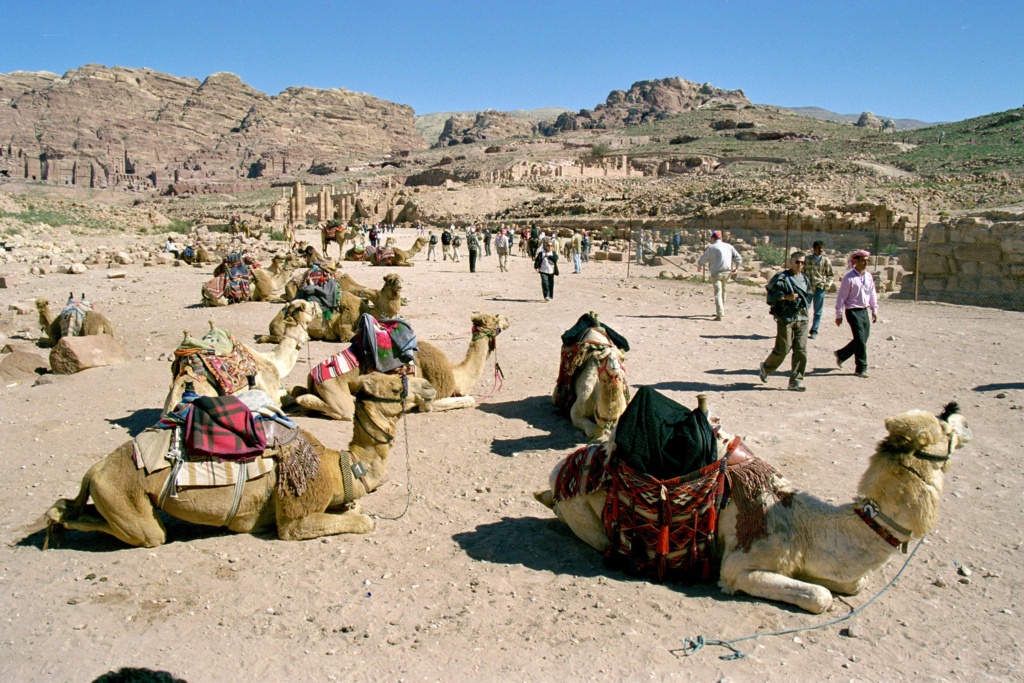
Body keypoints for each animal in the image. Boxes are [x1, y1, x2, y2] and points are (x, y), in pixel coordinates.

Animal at [43, 370, 436, 548]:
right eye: (394, 384)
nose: (429, 387)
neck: (336, 467)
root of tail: (95, 469)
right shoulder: (293, 519)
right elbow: (363, 521)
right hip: (126, 502)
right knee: (146, 533)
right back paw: (54, 528)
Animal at [290, 313, 509, 419]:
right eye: (496, 318)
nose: (507, 320)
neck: (457, 374)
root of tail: (312, 375)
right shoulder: (433, 396)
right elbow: (468, 400)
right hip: (334, 391)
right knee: (339, 409)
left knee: (297, 392)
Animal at [532, 401, 970, 614]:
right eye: (944, 433)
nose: (962, 420)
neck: (806, 527)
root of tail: (559, 472)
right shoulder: (741, 563)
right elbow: (819, 597)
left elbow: (853, 584)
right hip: (587, 520)